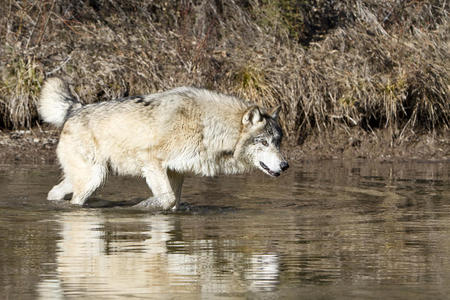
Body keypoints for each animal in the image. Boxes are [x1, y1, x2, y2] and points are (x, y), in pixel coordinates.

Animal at [39, 77, 288, 211]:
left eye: (277, 142)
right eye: (264, 142)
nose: (285, 165)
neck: (206, 126)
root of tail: (75, 109)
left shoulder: (176, 171)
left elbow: (174, 202)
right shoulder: (151, 162)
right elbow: (166, 199)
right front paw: (141, 207)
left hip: (91, 177)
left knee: (54, 191)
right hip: (94, 179)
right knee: (74, 201)